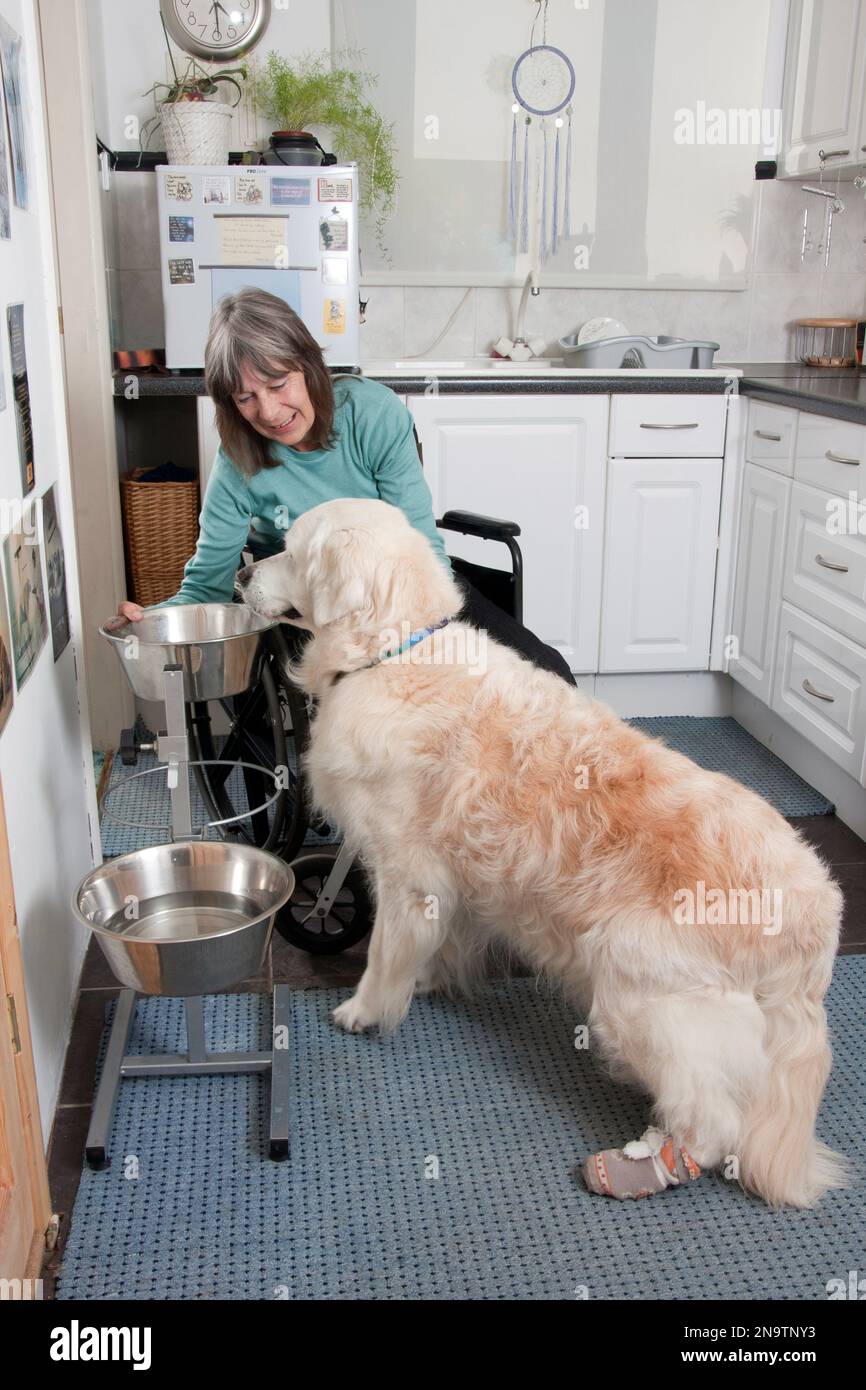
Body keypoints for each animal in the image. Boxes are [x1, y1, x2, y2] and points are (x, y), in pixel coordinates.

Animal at [237, 497, 845, 1206]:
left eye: (293, 549)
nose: (241, 576)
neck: (390, 651)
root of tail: (818, 915)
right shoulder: (448, 878)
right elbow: (434, 941)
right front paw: (428, 977)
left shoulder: (406, 870)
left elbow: (385, 952)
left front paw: (365, 1010)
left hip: (642, 988)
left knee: (715, 1118)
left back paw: (643, 1162)